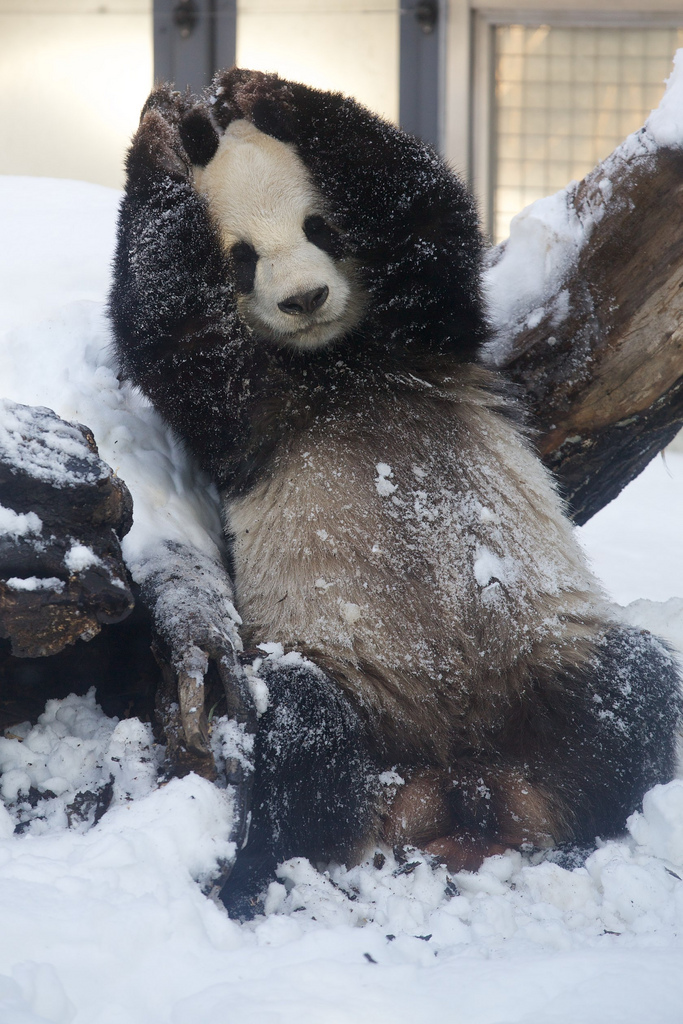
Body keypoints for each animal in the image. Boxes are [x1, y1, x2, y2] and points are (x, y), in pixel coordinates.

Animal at [109, 68, 679, 917]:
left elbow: (425, 213)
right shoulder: (245, 409)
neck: (336, 366)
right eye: (242, 258)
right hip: (352, 687)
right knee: (304, 736)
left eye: (320, 228)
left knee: (631, 695)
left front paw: (253, 90)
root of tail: (463, 789)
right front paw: (160, 130)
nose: (303, 297)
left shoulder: (426, 334)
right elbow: (171, 321)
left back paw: (597, 828)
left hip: (546, 659)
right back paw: (263, 875)